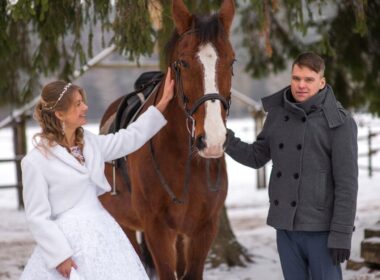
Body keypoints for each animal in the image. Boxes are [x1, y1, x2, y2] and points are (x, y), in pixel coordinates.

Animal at [98, 1, 235, 278]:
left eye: (231, 61)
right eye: (183, 63)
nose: (213, 140)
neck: (184, 161)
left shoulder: (203, 229)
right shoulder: (157, 229)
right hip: (126, 225)